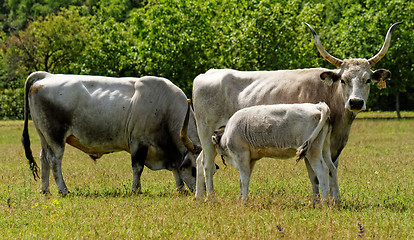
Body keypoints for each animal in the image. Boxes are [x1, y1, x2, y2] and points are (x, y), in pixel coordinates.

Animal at [21, 72, 201, 196]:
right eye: (194, 169)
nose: (200, 191)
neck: (166, 107)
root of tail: (47, 76)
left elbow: (175, 168)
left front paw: (181, 189)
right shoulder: (139, 142)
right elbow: (138, 167)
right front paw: (136, 190)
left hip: (44, 137)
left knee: (44, 158)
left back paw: (45, 190)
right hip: (55, 137)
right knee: (54, 160)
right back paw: (63, 190)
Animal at [193, 22, 402, 201]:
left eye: (368, 80)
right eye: (343, 80)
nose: (356, 102)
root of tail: (208, 73)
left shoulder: (332, 146)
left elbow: (332, 170)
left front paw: (335, 200)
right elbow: (315, 175)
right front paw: (319, 201)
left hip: (211, 138)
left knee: (199, 160)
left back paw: (198, 197)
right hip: (205, 132)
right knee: (207, 164)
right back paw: (210, 197)